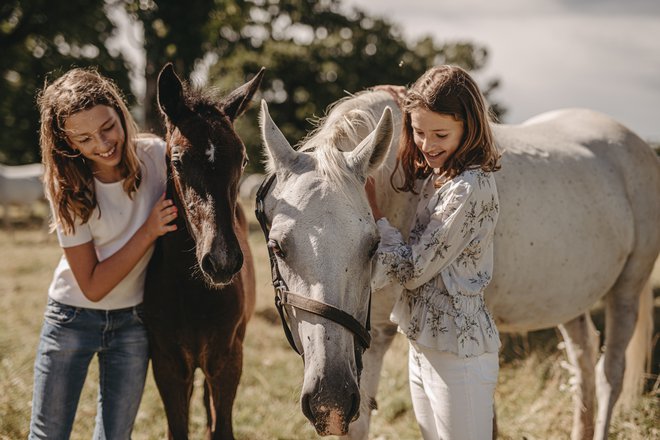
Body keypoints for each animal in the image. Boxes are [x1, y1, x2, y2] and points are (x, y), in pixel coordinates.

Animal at [258, 90, 660, 440]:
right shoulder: (365, 342)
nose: (330, 399)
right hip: (567, 299)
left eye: (372, 247)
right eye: (277, 247)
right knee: (583, 360)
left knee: (610, 375)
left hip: (627, 289)